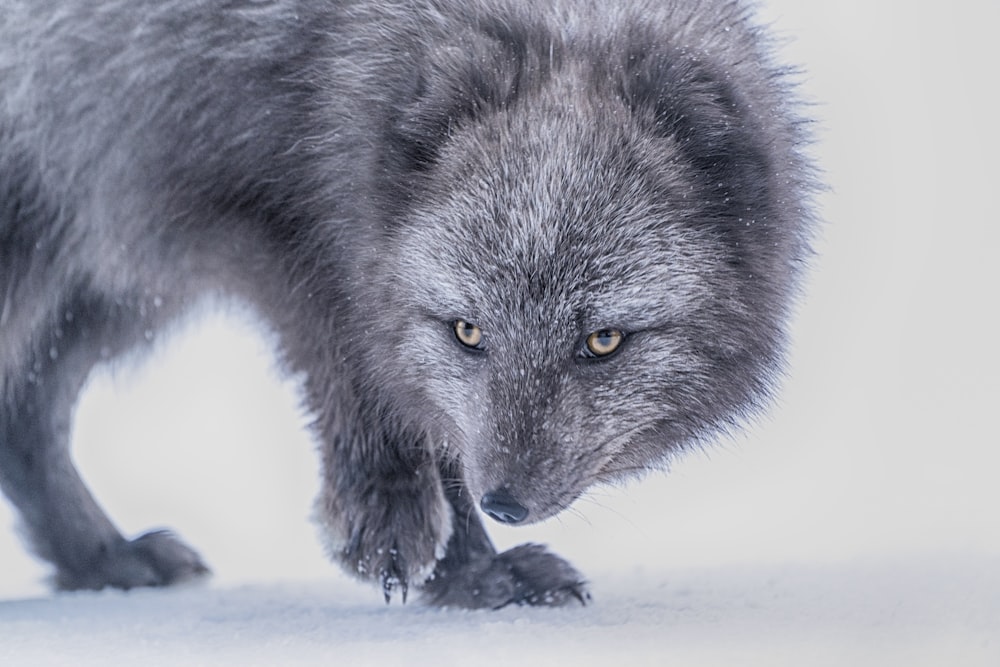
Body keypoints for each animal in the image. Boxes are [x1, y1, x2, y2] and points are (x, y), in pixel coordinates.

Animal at [0, 0, 812, 608]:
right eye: (467, 331)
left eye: (603, 341)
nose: (505, 502)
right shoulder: (262, 214)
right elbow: (360, 361)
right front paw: (397, 520)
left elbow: (435, 417)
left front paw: (473, 575)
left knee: (25, 410)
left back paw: (101, 559)